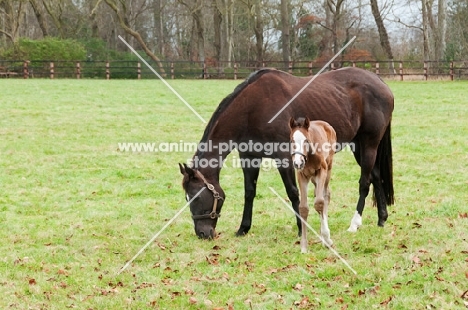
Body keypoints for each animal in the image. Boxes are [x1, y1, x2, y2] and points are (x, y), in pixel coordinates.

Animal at [179, 66, 394, 239]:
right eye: (187, 198)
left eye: (196, 197)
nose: (202, 233)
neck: (252, 109)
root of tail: (380, 83)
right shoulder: (249, 157)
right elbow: (249, 192)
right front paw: (243, 228)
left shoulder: (284, 157)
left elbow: (293, 192)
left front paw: (301, 228)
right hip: (358, 145)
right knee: (376, 177)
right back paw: (382, 218)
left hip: (368, 144)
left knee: (364, 182)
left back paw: (354, 224)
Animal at [288, 117, 336, 253]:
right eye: (292, 140)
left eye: (306, 140)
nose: (298, 162)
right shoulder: (301, 175)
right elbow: (303, 208)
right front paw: (304, 246)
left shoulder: (322, 170)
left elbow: (319, 202)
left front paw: (327, 238)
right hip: (314, 178)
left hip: (328, 168)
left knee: (326, 195)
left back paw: (325, 237)